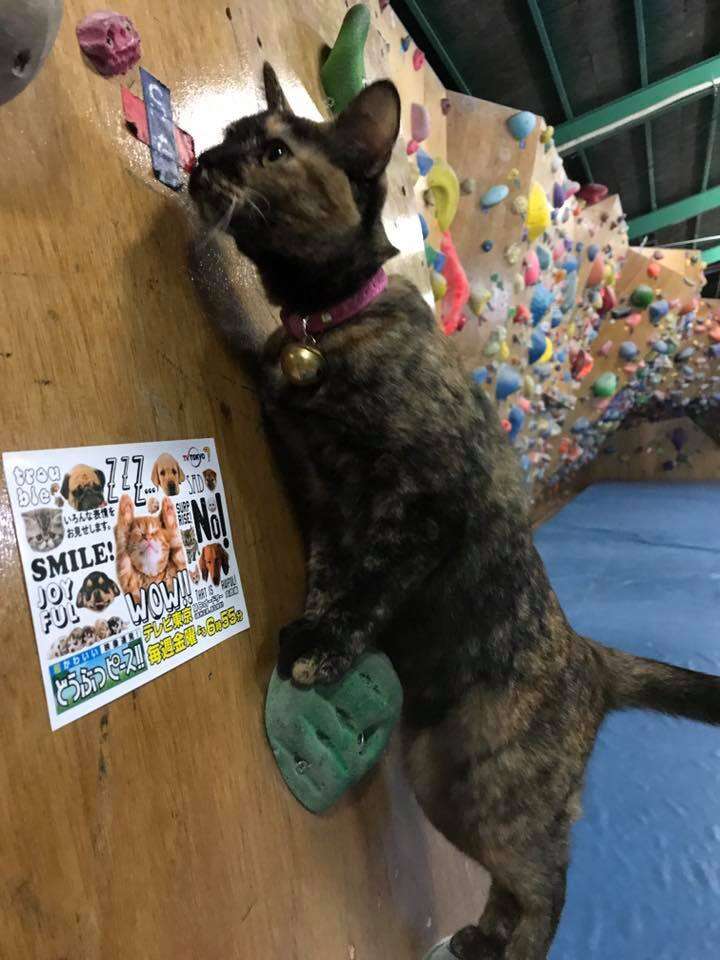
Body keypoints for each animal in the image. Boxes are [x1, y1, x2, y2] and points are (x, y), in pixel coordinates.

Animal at [187, 63, 720, 956]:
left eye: (273, 152)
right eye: (231, 135)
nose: (202, 164)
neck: (327, 330)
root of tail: (590, 656)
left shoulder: (426, 505)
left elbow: (373, 581)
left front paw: (325, 650)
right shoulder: (325, 498)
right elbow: (333, 572)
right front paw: (315, 630)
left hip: (496, 787)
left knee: (549, 881)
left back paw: (521, 945)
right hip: (441, 775)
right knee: (513, 879)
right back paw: (480, 938)